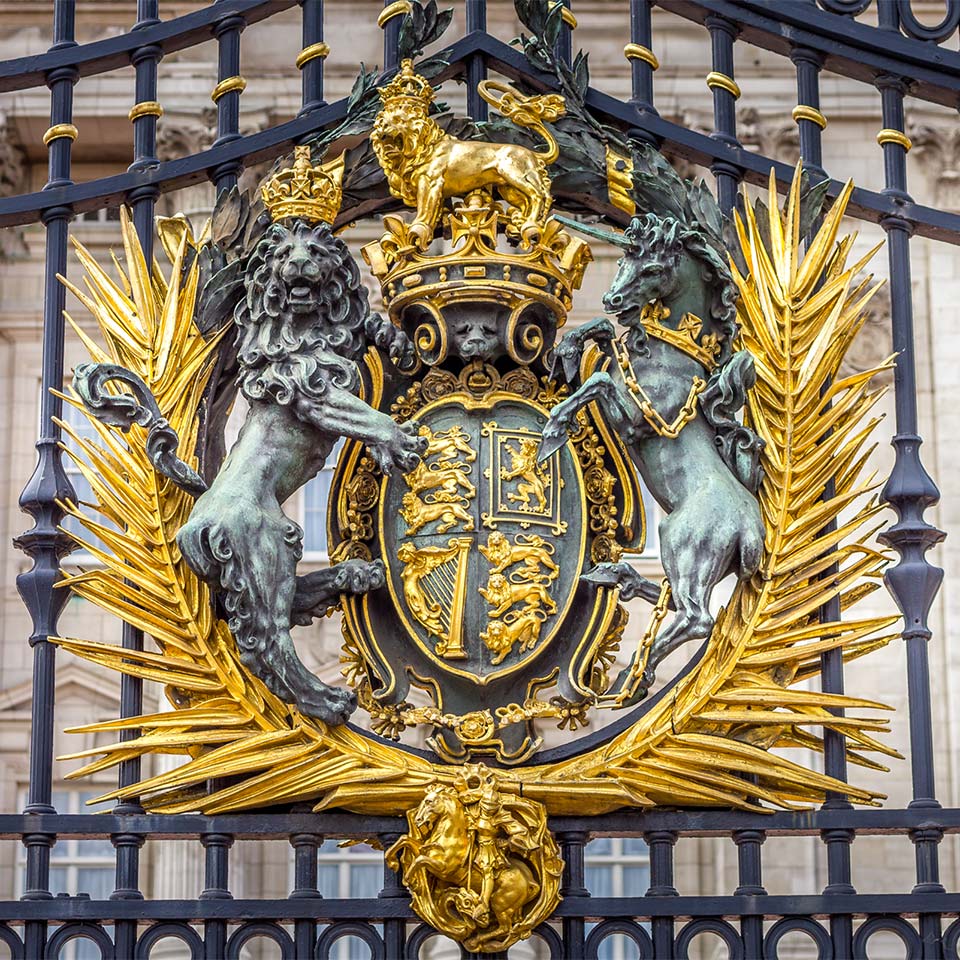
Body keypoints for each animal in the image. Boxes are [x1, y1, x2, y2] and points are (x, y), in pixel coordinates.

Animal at [368, 59, 564, 248]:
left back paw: (530, 224)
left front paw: (418, 227)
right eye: (383, 122)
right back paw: (521, 222)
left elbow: (425, 209)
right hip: (508, 188)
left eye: (398, 120)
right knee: (532, 200)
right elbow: (435, 210)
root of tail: (532, 153)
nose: (381, 134)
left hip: (514, 175)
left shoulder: (430, 181)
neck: (422, 148)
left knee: (538, 195)